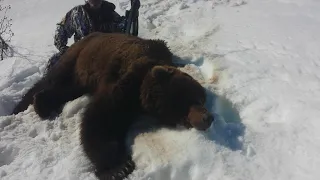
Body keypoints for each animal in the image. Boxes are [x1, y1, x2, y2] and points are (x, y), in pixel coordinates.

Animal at [11, 32, 214, 180]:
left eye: (200, 100)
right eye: (186, 103)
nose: (208, 117)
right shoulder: (124, 83)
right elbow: (101, 117)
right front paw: (119, 167)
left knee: (67, 88)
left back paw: (40, 103)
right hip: (78, 57)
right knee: (52, 80)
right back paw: (27, 105)